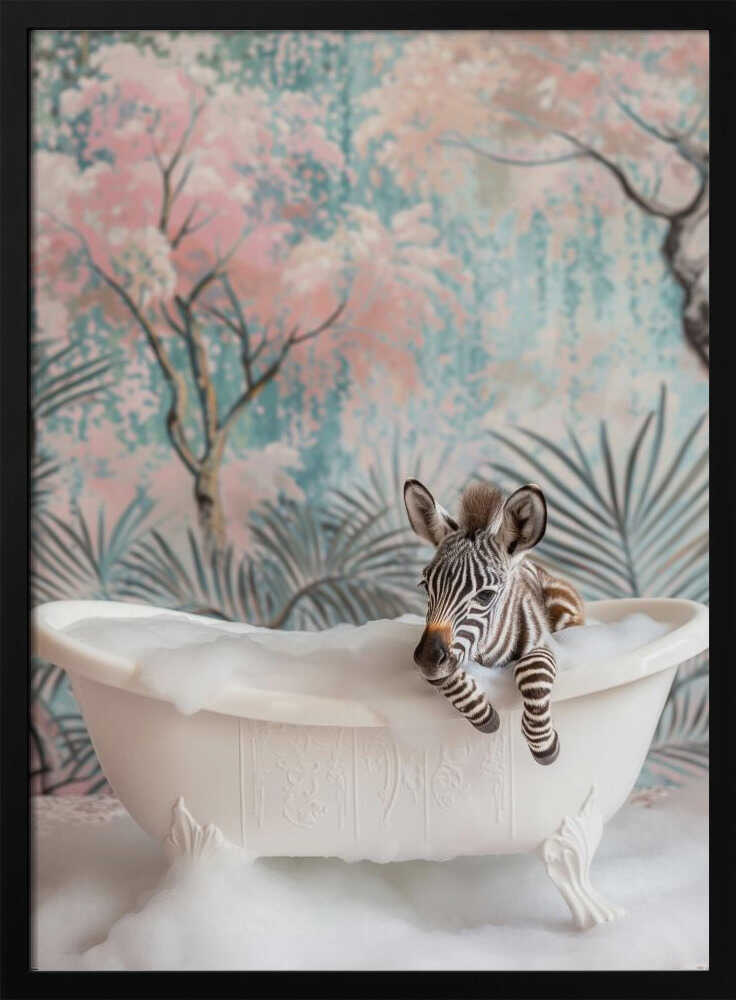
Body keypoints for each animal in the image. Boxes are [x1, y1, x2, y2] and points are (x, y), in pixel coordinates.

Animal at [404, 478, 584, 765]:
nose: (427, 659)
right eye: (425, 586)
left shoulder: (544, 646)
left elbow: (533, 671)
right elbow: (443, 677)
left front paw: (544, 744)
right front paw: (483, 714)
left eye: (486, 595)